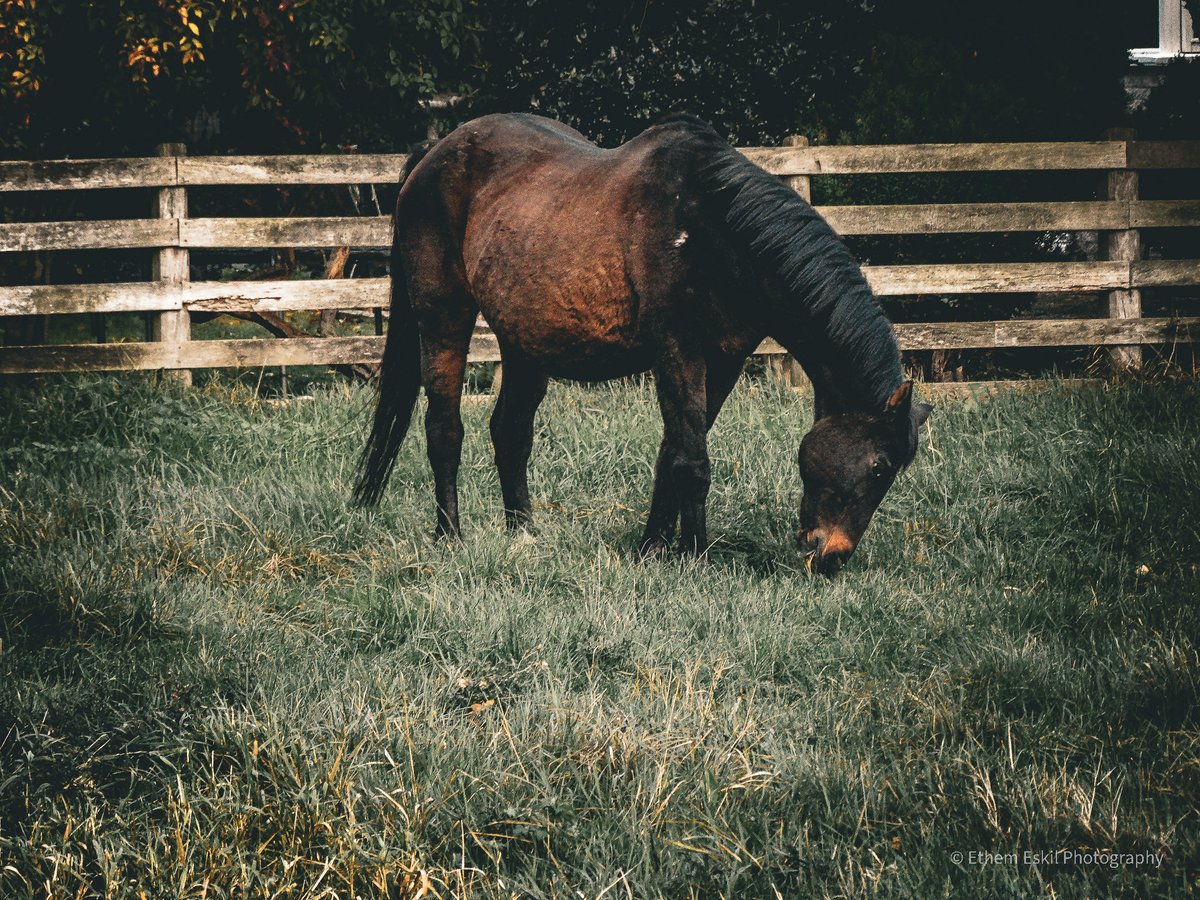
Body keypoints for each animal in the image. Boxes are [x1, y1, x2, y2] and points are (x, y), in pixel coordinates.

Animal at [354, 113, 931, 574]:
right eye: (879, 467)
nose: (832, 558)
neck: (715, 228)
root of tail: (434, 154)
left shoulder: (721, 360)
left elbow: (671, 453)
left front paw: (653, 549)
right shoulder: (677, 350)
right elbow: (692, 461)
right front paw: (696, 556)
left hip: (525, 343)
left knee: (511, 431)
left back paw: (523, 533)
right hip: (443, 319)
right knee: (444, 430)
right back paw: (450, 536)